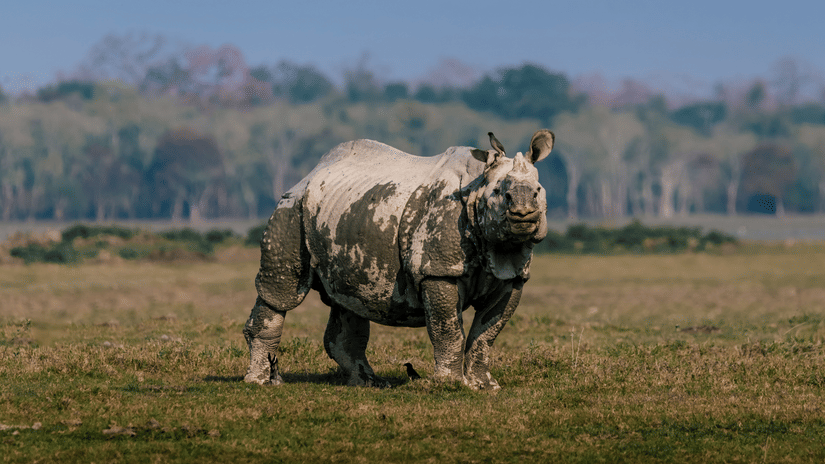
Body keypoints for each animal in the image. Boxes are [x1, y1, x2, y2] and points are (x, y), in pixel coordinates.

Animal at [243, 129, 554, 390]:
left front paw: (485, 386)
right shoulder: (437, 270)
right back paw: (261, 382)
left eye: (539, 191)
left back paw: (369, 383)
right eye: (500, 193)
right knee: (281, 295)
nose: (523, 211)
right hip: (290, 208)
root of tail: (310, 174)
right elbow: (448, 329)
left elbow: (486, 334)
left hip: (343, 212)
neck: (478, 186)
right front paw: (451, 385)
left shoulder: (512, 276)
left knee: (348, 301)